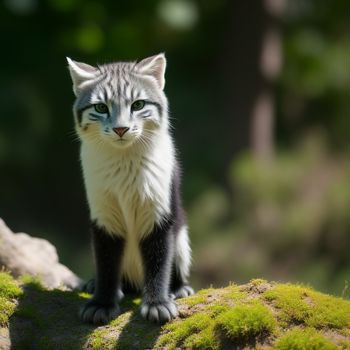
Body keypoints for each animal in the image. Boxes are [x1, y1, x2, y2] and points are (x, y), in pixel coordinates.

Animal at [67, 53, 194, 324]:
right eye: (101, 107)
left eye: (138, 104)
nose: (121, 129)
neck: (124, 160)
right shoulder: (103, 215)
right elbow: (106, 261)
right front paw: (101, 302)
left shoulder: (159, 213)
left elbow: (159, 260)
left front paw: (158, 303)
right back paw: (93, 284)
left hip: (182, 238)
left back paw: (179, 289)